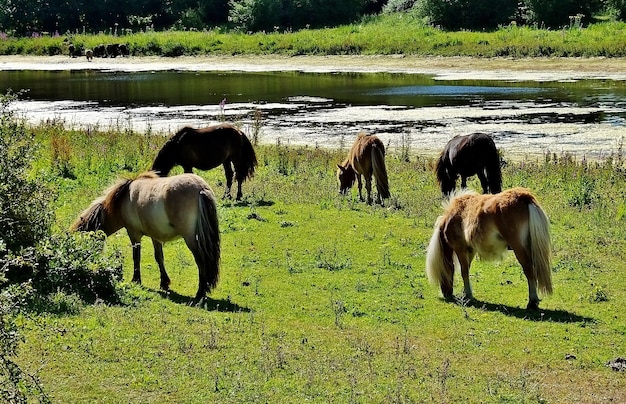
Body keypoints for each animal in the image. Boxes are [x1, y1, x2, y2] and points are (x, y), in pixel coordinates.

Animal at [71, 170, 221, 300]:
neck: (123, 199)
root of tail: (200, 188)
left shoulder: (134, 234)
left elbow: (136, 256)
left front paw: (136, 280)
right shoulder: (156, 236)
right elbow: (159, 257)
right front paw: (164, 283)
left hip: (191, 238)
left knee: (201, 260)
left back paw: (200, 293)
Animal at [424, 187, 552, 310]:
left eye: (441, 271)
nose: (446, 293)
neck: (454, 215)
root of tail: (525, 197)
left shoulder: (461, 249)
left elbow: (464, 271)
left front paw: (468, 295)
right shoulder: (470, 250)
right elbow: (466, 270)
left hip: (519, 248)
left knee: (529, 270)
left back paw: (532, 302)